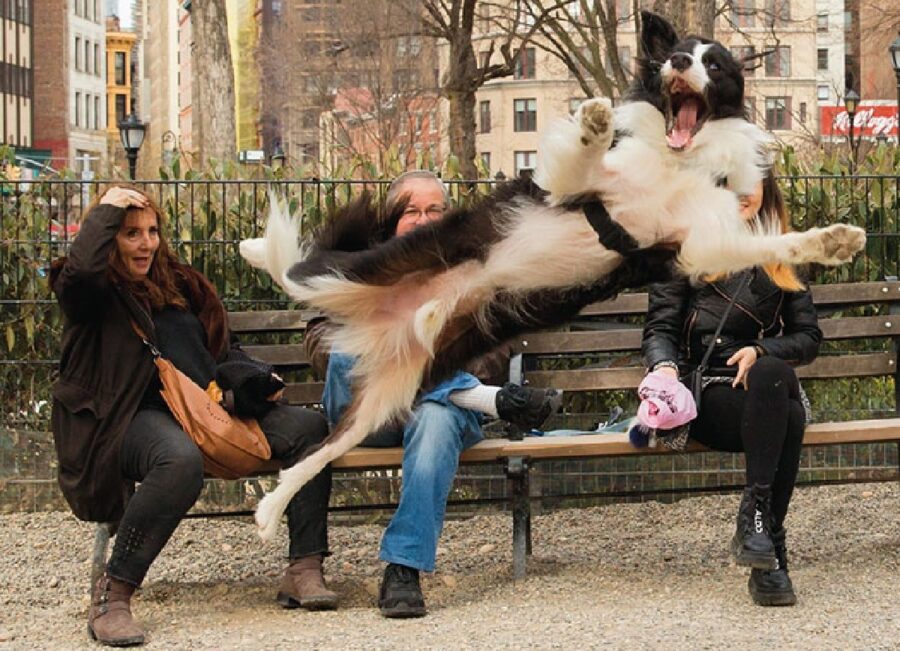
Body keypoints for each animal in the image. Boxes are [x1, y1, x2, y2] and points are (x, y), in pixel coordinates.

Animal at [239, 11, 864, 540]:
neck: (676, 158)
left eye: (715, 65)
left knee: (322, 450)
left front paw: (832, 240)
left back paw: (271, 508)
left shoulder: (696, 246)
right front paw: (595, 119)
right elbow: (584, 156)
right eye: (677, 56)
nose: (681, 66)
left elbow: (768, 243)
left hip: (389, 393)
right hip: (364, 268)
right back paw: (256, 246)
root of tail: (378, 320)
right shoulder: (575, 187)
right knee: (298, 273)